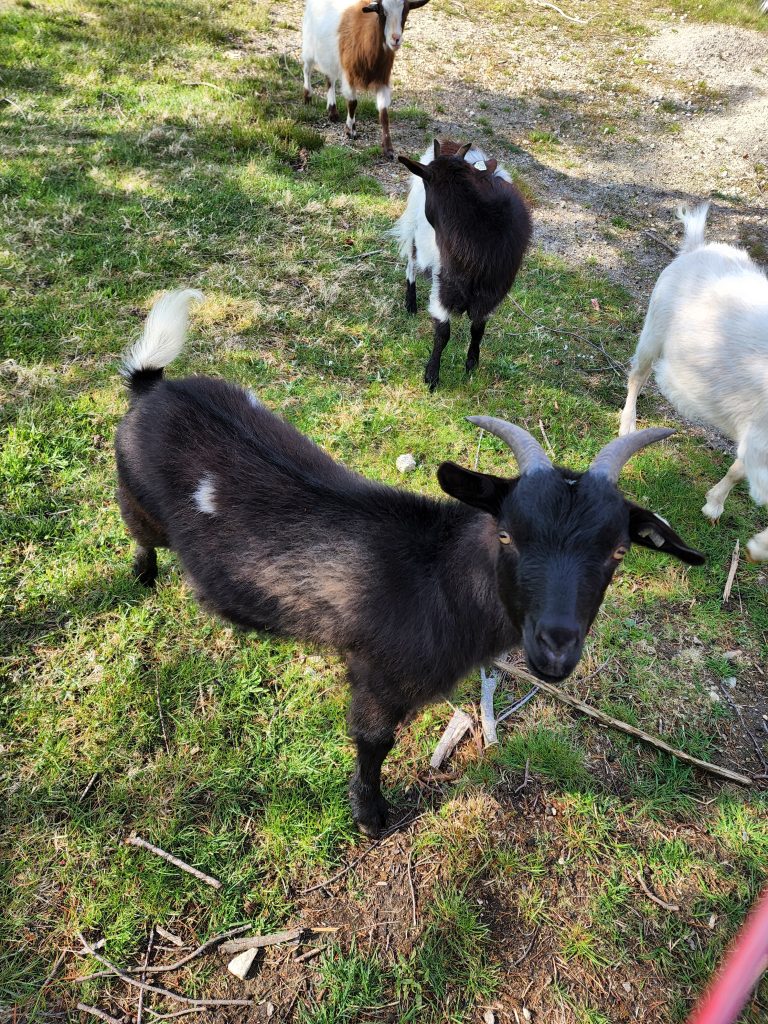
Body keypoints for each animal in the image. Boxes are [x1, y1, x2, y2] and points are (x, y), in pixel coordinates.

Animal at [117, 292, 708, 835]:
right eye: (507, 535)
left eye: (617, 551)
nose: (555, 650)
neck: (438, 576)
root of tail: (154, 385)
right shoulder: (378, 676)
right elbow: (374, 742)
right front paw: (372, 817)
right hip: (136, 499)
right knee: (140, 537)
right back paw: (143, 578)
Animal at [303, 0, 430, 157]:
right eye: (382, 12)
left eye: (406, 11)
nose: (396, 39)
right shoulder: (350, 74)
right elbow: (352, 103)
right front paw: (350, 130)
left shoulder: (383, 80)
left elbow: (384, 113)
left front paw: (388, 148)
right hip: (309, 45)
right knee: (307, 69)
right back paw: (308, 96)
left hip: (330, 55)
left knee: (329, 78)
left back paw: (332, 111)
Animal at [393, 138, 532, 389]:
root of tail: (449, 143)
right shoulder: (444, 287)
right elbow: (443, 332)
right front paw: (432, 376)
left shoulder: (491, 294)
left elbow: (478, 328)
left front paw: (471, 364)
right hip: (416, 229)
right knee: (411, 256)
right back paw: (410, 303)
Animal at [618, 203, 768, 565]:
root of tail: (696, 248)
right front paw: (757, 546)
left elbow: (738, 468)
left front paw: (713, 504)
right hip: (654, 328)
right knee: (637, 375)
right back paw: (628, 425)